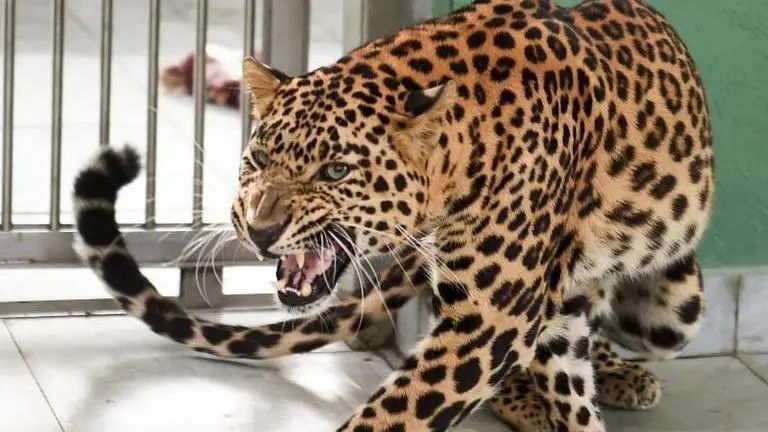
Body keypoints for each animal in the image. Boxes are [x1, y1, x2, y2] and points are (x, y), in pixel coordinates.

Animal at [72, 0, 714, 430]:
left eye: (335, 171)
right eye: (257, 158)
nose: (259, 230)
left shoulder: (491, 318)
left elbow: (396, 412)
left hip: (674, 307)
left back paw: (614, 375)